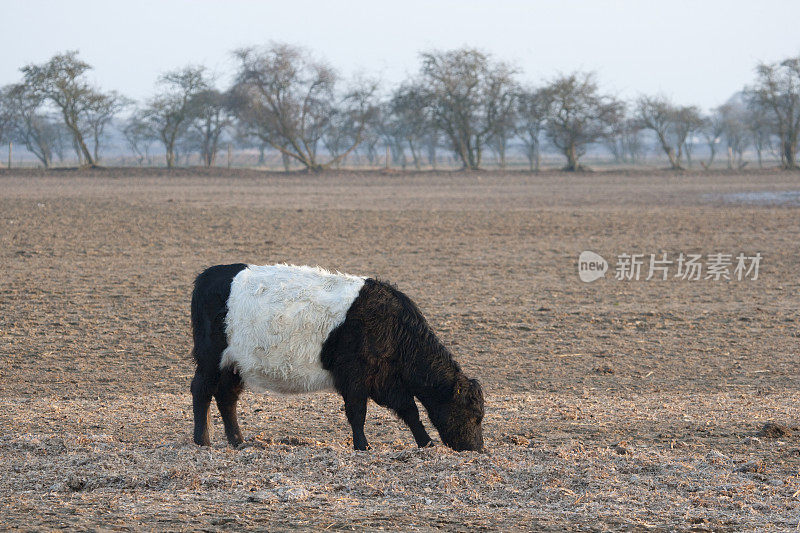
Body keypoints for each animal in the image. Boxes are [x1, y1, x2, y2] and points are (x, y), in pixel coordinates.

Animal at [191, 262, 484, 448]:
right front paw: (362, 446)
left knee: (227, 397)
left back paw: (238, 441)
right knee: (201, 390)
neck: (392, 327)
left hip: (234, 364)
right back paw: (202, 440)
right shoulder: (354, 377)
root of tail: (207, 275)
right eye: (472, 413)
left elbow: (409, 410)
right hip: (210, 358)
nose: (477, 447)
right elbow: (358, 411)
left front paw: (426, 442)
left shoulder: (386, 381)